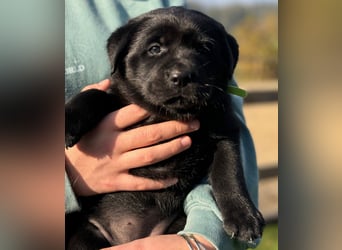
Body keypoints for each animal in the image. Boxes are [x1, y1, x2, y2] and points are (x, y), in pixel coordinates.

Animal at [66, 6, 264, 249]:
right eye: (154, 49)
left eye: (205, 48)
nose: (182, 76)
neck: (166, 114)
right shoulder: (117, 98)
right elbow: (94, 94)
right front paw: (69, 119)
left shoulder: (224, 130)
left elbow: (229, 173)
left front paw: (244, 217)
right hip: (86, 234)